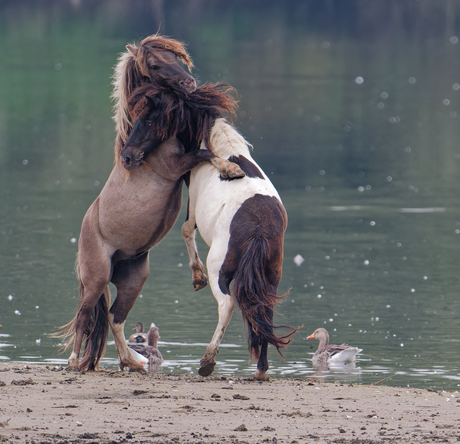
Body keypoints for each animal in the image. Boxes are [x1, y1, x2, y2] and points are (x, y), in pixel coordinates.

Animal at [61, 34, 244, 372]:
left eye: (176, 58)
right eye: (156, 65)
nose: (189, 82)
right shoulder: (174, 167)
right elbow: (204, 153)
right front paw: (231, 168)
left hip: (134, 277)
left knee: (114, 317)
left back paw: (130, 363)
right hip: (96, 278)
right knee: (84, 317)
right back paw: (74, 362)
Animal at [123, 82, 302, 378]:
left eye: (147, 120)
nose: (126, 156)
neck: (223, 146)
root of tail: (259, 226)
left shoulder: (193, 206)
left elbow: (186, 230)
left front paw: (197, 277)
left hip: (221, 269)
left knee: (227, 304)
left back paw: (207, 361)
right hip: (270, 274)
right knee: (263, 310)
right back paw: (261, 371)